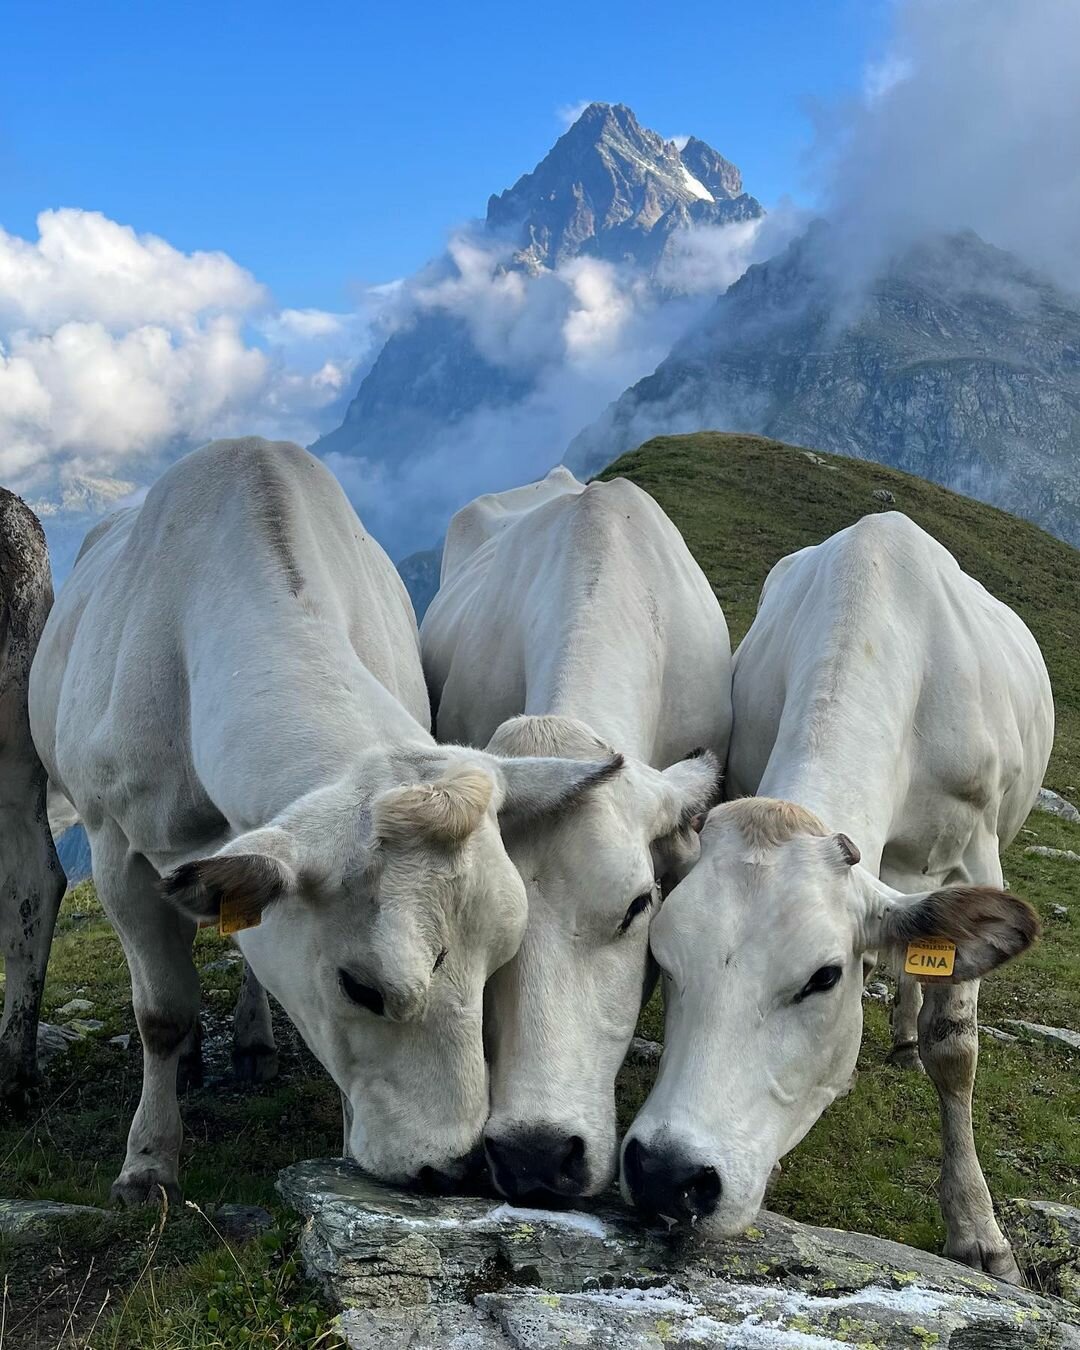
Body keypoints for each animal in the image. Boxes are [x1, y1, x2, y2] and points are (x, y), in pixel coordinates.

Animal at [29, 434, 621, 1204]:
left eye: (499, 963)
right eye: (360, 987)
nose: (454, 1169)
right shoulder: (114, 847)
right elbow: (161, 1013)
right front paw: (148, 1162)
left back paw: (252, 1042)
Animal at [621, 515, 1053, 1285]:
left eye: (823, 978)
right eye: (662, 962)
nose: (668, 1177)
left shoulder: (978, 852)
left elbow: (955, 1047)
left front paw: (978, 1231)